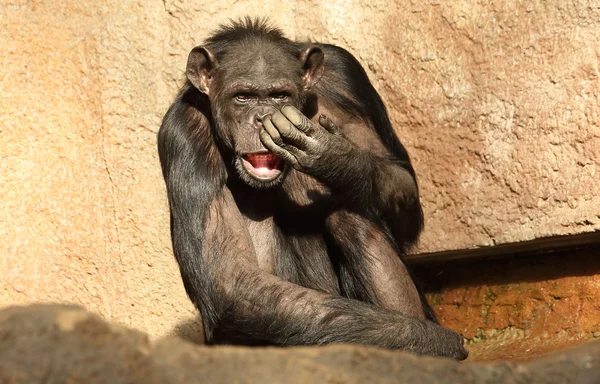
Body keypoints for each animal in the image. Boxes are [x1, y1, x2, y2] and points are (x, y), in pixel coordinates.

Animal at [157, 18, 466, 360]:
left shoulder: (346, 75)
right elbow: (231, 279)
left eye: (279, 95)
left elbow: (403, 186)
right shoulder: (184, 133)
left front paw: (336, 158)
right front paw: (437, 342)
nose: (262, 117)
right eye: (242, 97)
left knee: (351, 211)